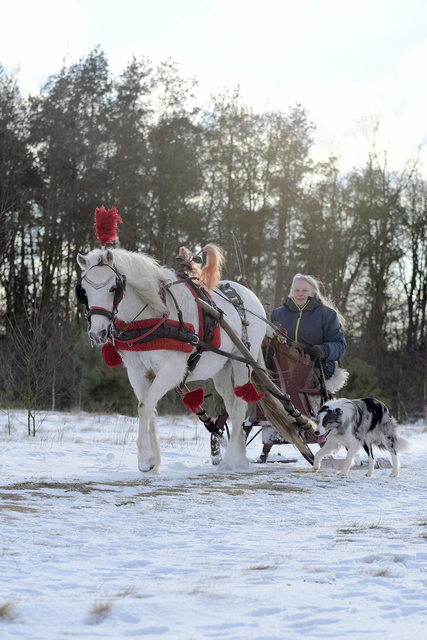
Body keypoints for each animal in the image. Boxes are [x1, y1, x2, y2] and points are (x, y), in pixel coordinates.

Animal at [75, 248, 266, 472]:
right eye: (84, 291)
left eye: (114, 288)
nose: (98, 334)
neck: (153, 316)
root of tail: (252, 297)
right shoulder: (137, 372)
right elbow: (148, 408)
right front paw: (153, 460)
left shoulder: (172, 370)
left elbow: (145, 407)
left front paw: (145, 457)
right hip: (221, 368)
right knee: (231, 404)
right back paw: (240, 457)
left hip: (242, 360)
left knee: (239, 406)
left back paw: (229, 460)